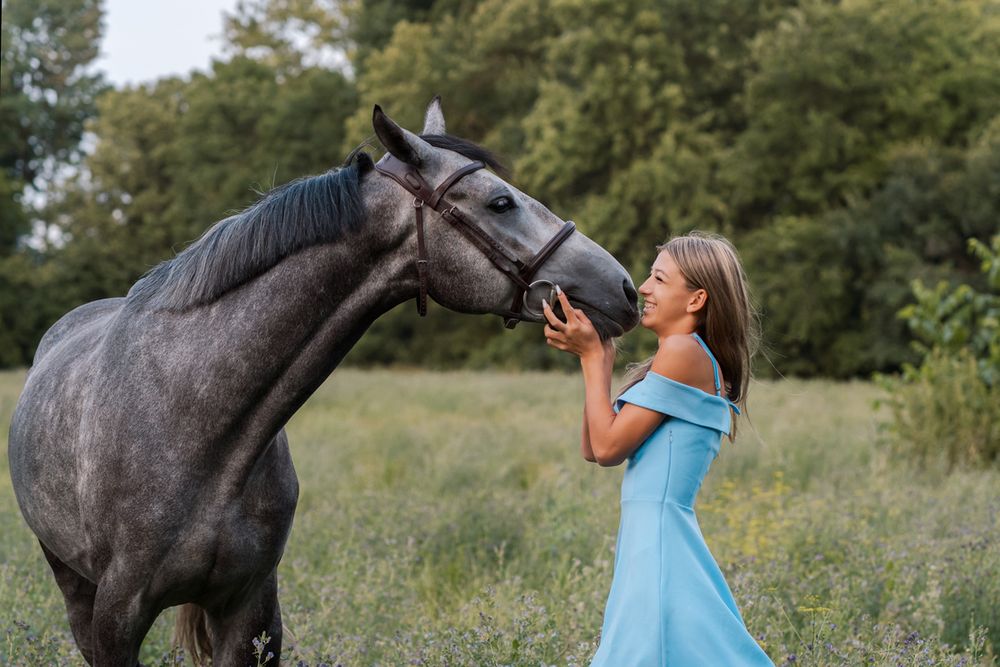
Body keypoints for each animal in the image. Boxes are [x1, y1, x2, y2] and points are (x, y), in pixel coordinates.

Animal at [7, 99, 639, 666]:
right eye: (500, 202)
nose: (626, 289)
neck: (196, 420)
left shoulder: (252, 611)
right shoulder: (118, 618)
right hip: (73, 586)